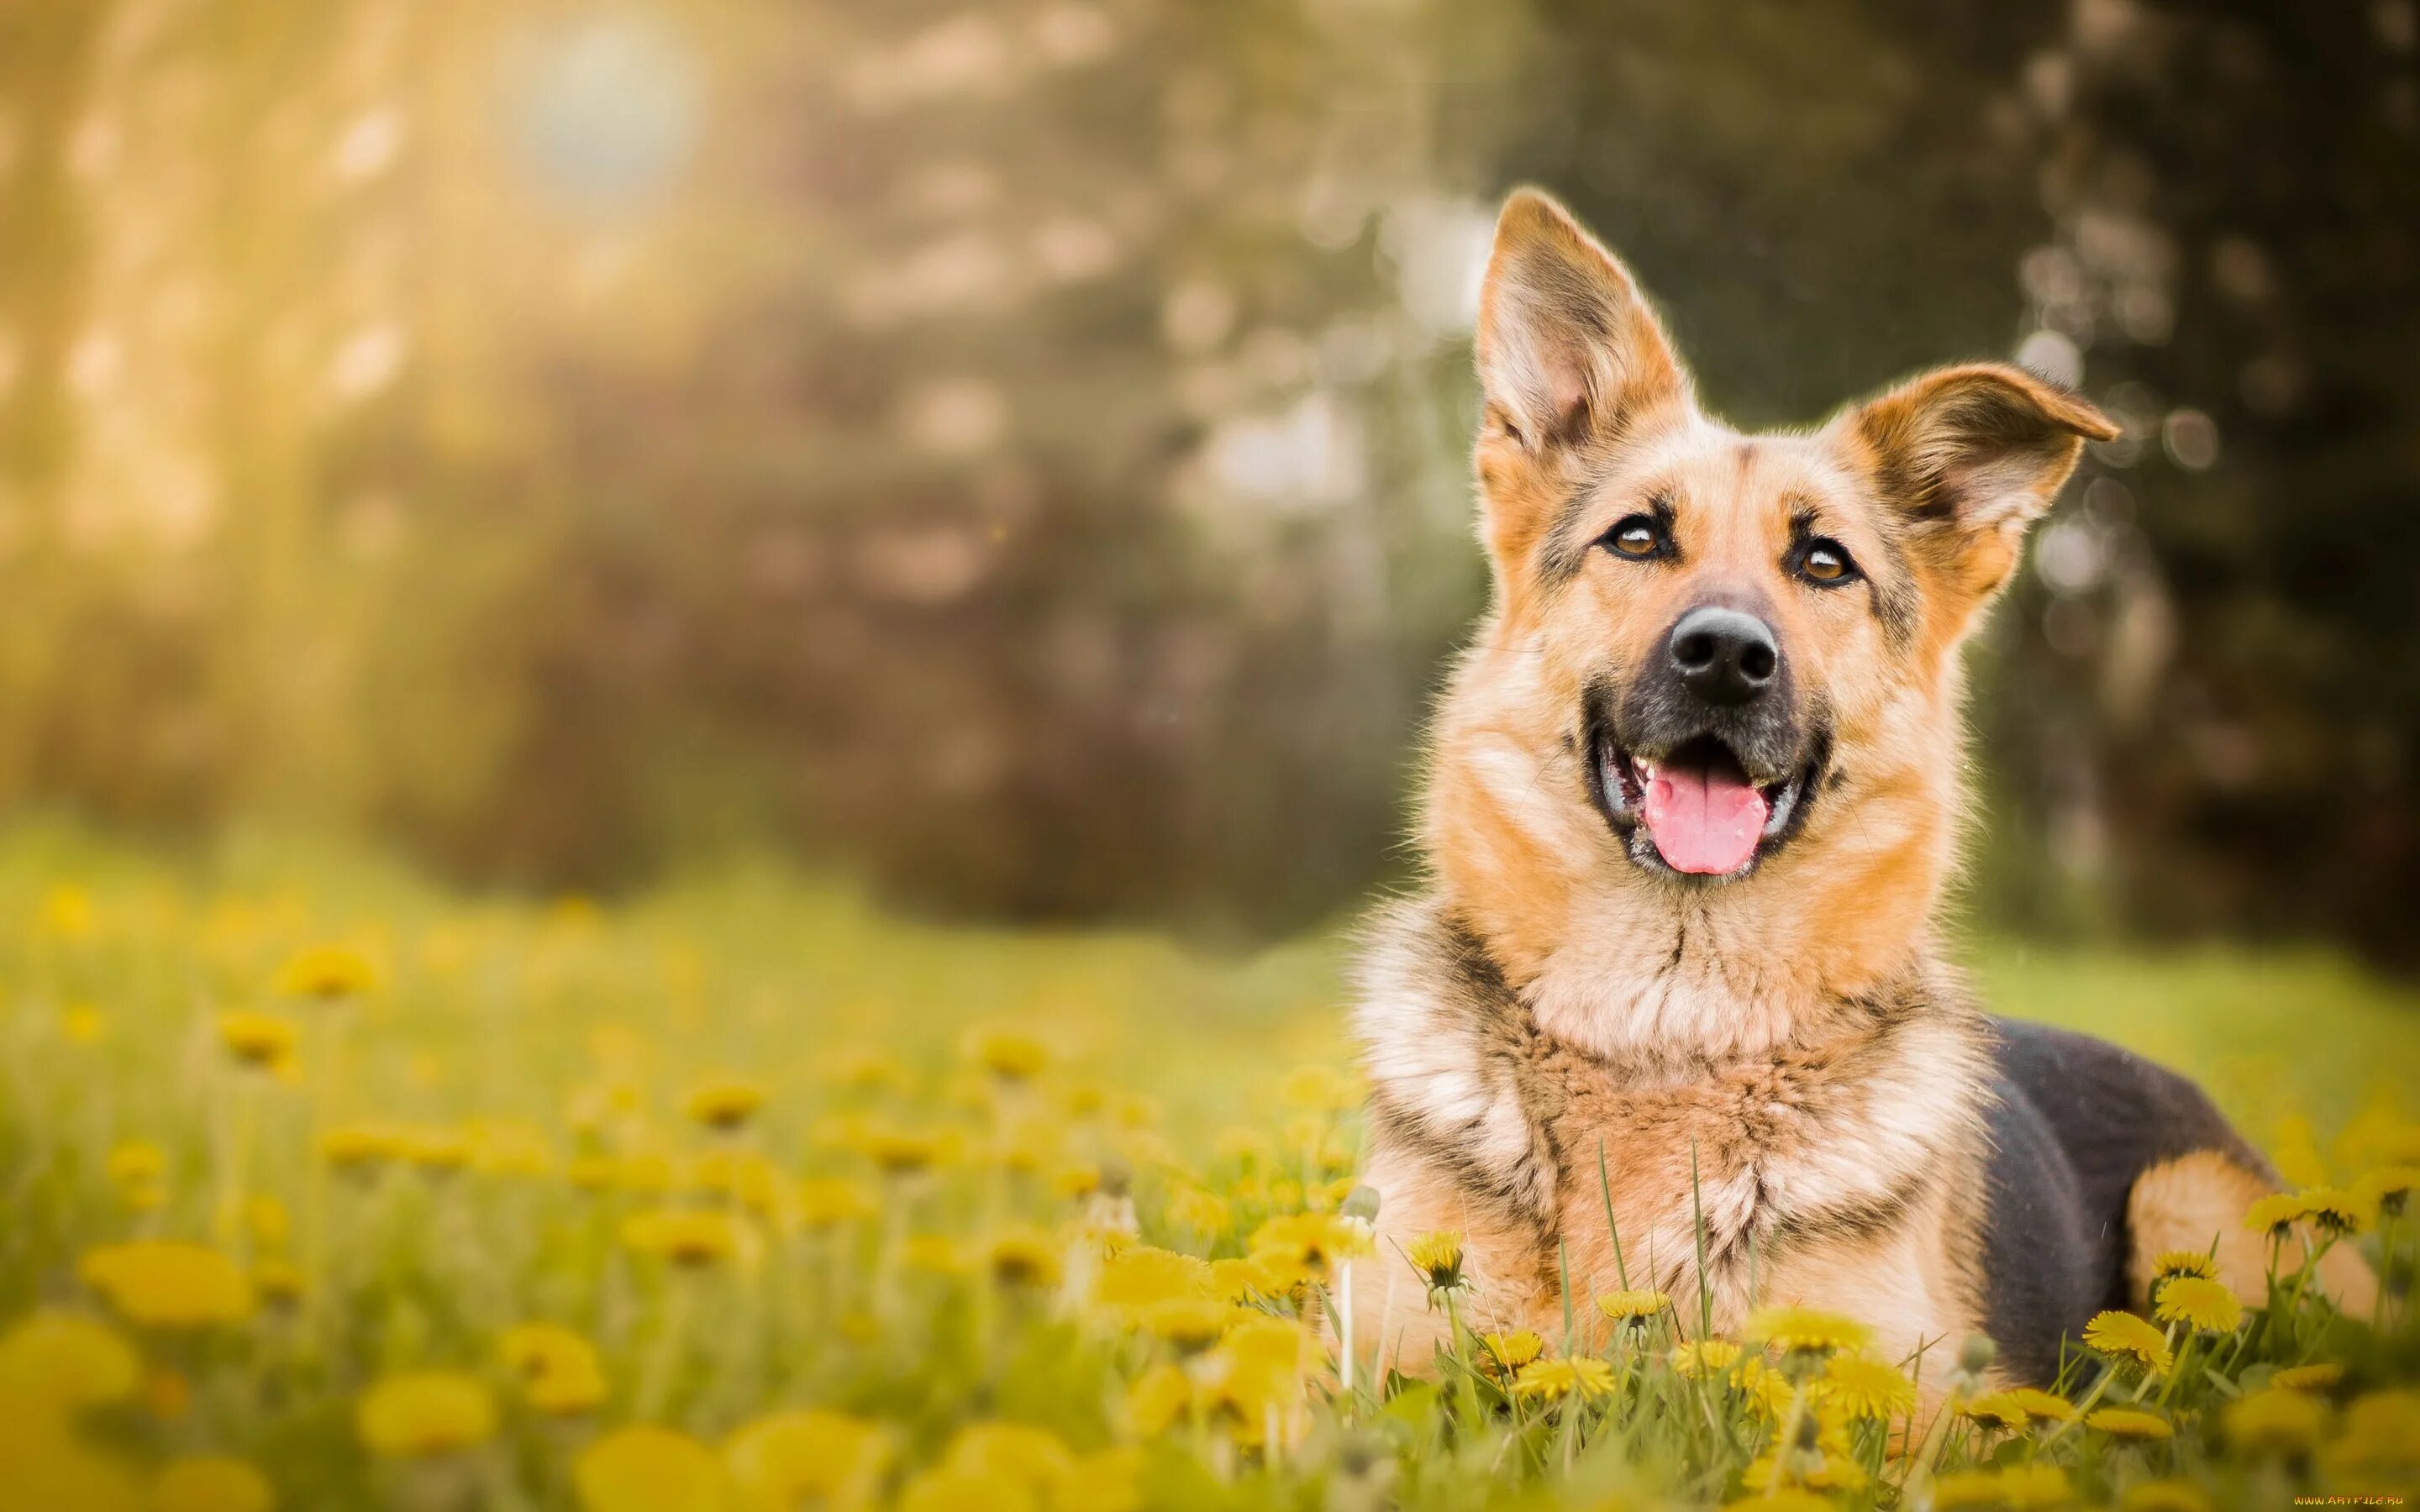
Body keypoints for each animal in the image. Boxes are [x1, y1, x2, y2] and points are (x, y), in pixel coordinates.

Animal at [1355, 188, 2371, 1393]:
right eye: (1638, 537)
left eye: (1825, 563)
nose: (1726, 658)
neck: (1672, 1022)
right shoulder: (1374, 1374)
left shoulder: (1896, 1402)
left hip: (2192, 1211)